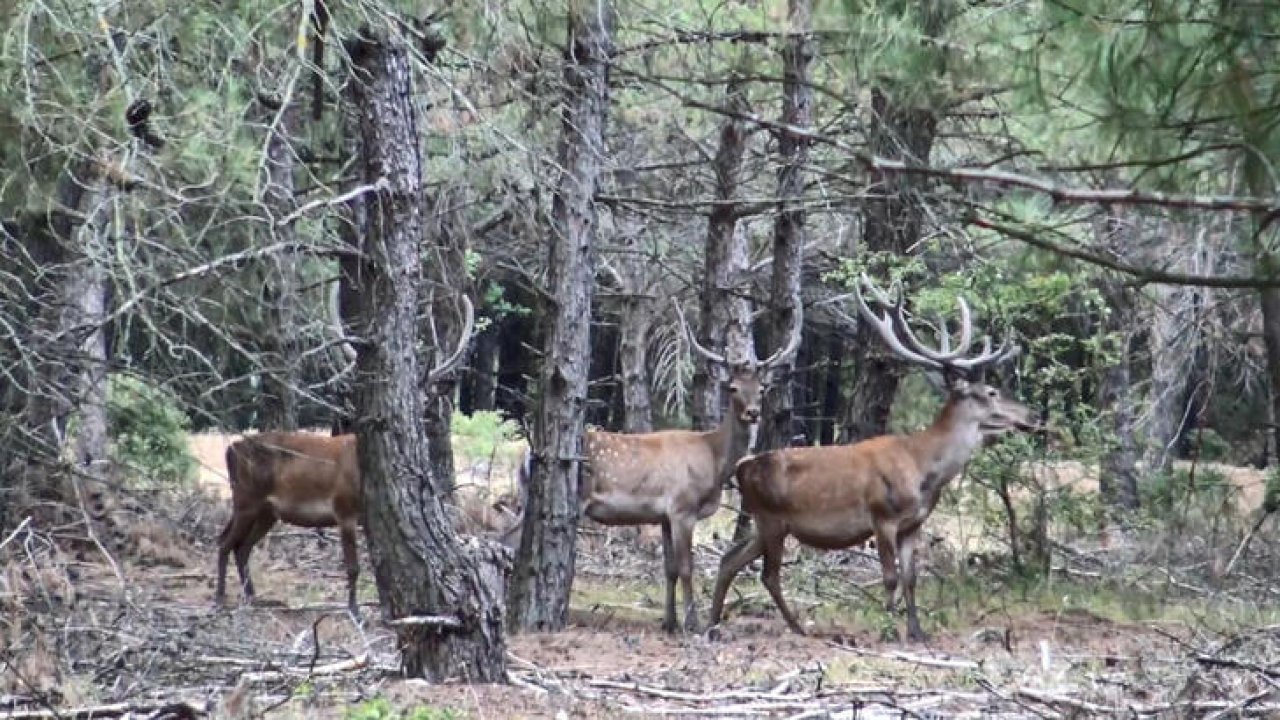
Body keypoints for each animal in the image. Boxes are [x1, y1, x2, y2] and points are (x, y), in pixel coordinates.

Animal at [212, 294, 478, 607]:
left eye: (427, 395)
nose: (417, 413)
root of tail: (231, 449)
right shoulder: (343, 508)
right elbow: (352, 567)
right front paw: (353, 609)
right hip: (246, 498)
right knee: (225, 541)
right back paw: (221, 596)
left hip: (267, 510)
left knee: (241, 546)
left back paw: (254, 597)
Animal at [711, 274, 1039, 638]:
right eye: (991, 392)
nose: (1034, 414)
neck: (924, 470)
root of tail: (742, 467)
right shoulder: (883, 516)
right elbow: (890, 577)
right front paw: (888, 627)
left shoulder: (913, 524)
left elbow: (911, 578)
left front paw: (917, 631)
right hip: (771, 519)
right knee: (767, 574)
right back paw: (796, 626)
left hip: (763, 523)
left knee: (729, 560)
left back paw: (712, 621)